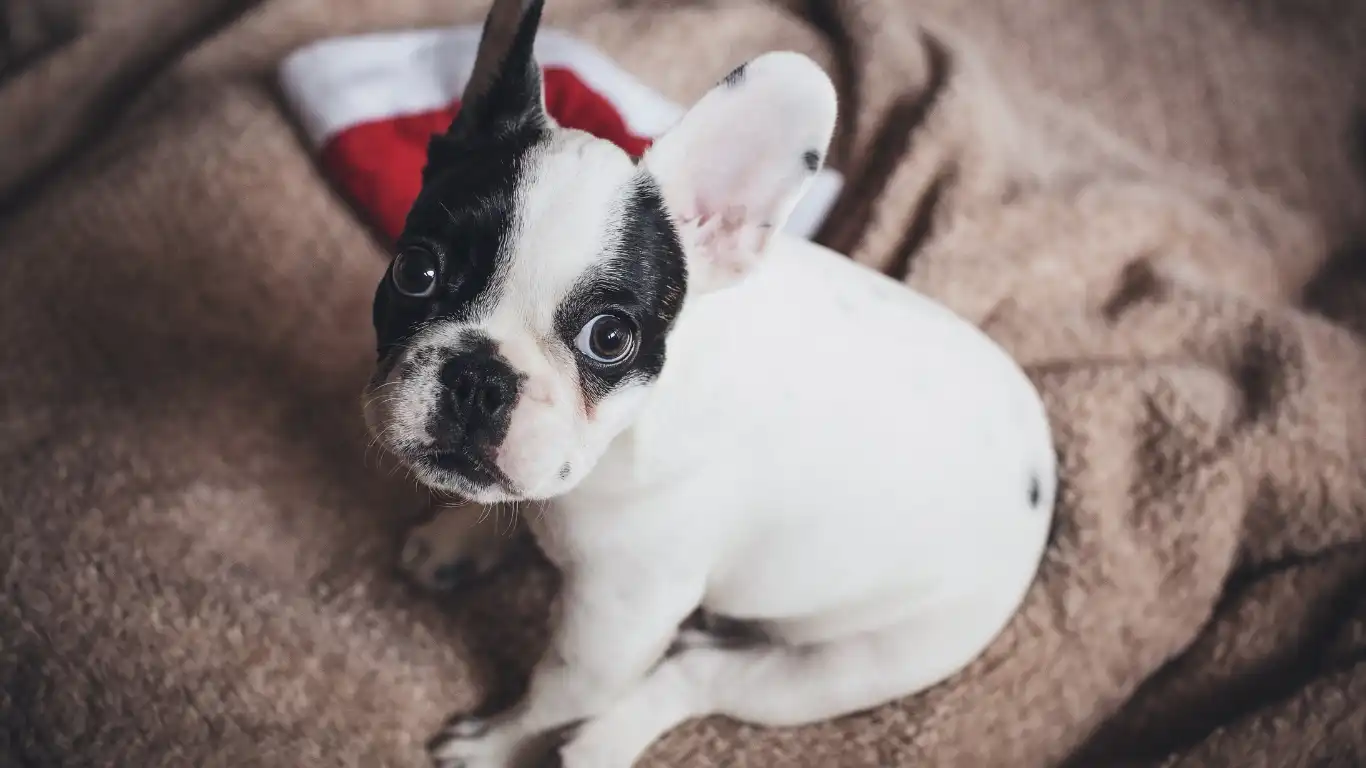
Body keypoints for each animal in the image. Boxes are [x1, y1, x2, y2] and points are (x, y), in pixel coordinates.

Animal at [363, 0, 1054, 759]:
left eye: (610, 338)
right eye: (416, 271)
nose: (481, 377)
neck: (625, 432)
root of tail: (1042, 484)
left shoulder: (618, 620)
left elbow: (553, 695)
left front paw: (494, 747)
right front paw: (458, 538)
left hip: (852, 666)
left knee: (698, 680)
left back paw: (602, 745)